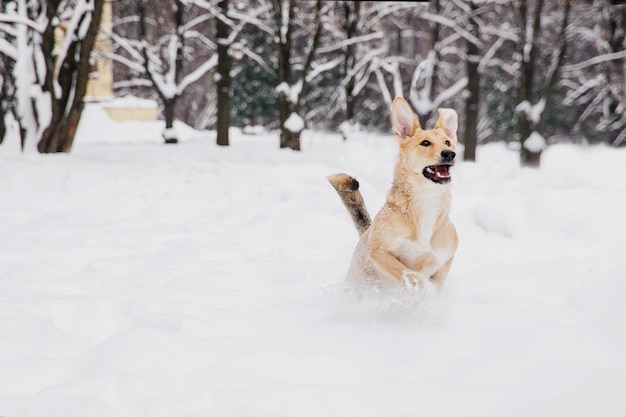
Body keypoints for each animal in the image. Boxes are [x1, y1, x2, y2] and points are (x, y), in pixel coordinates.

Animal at [326, 96, 458, 290]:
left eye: (448, 142)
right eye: (425, 143)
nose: (450, 153)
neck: (426, 200)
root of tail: (366, 231)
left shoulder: (445, 259)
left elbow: (434, 283)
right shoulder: (378, 250)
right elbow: (408, 273)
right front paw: (419, 289)